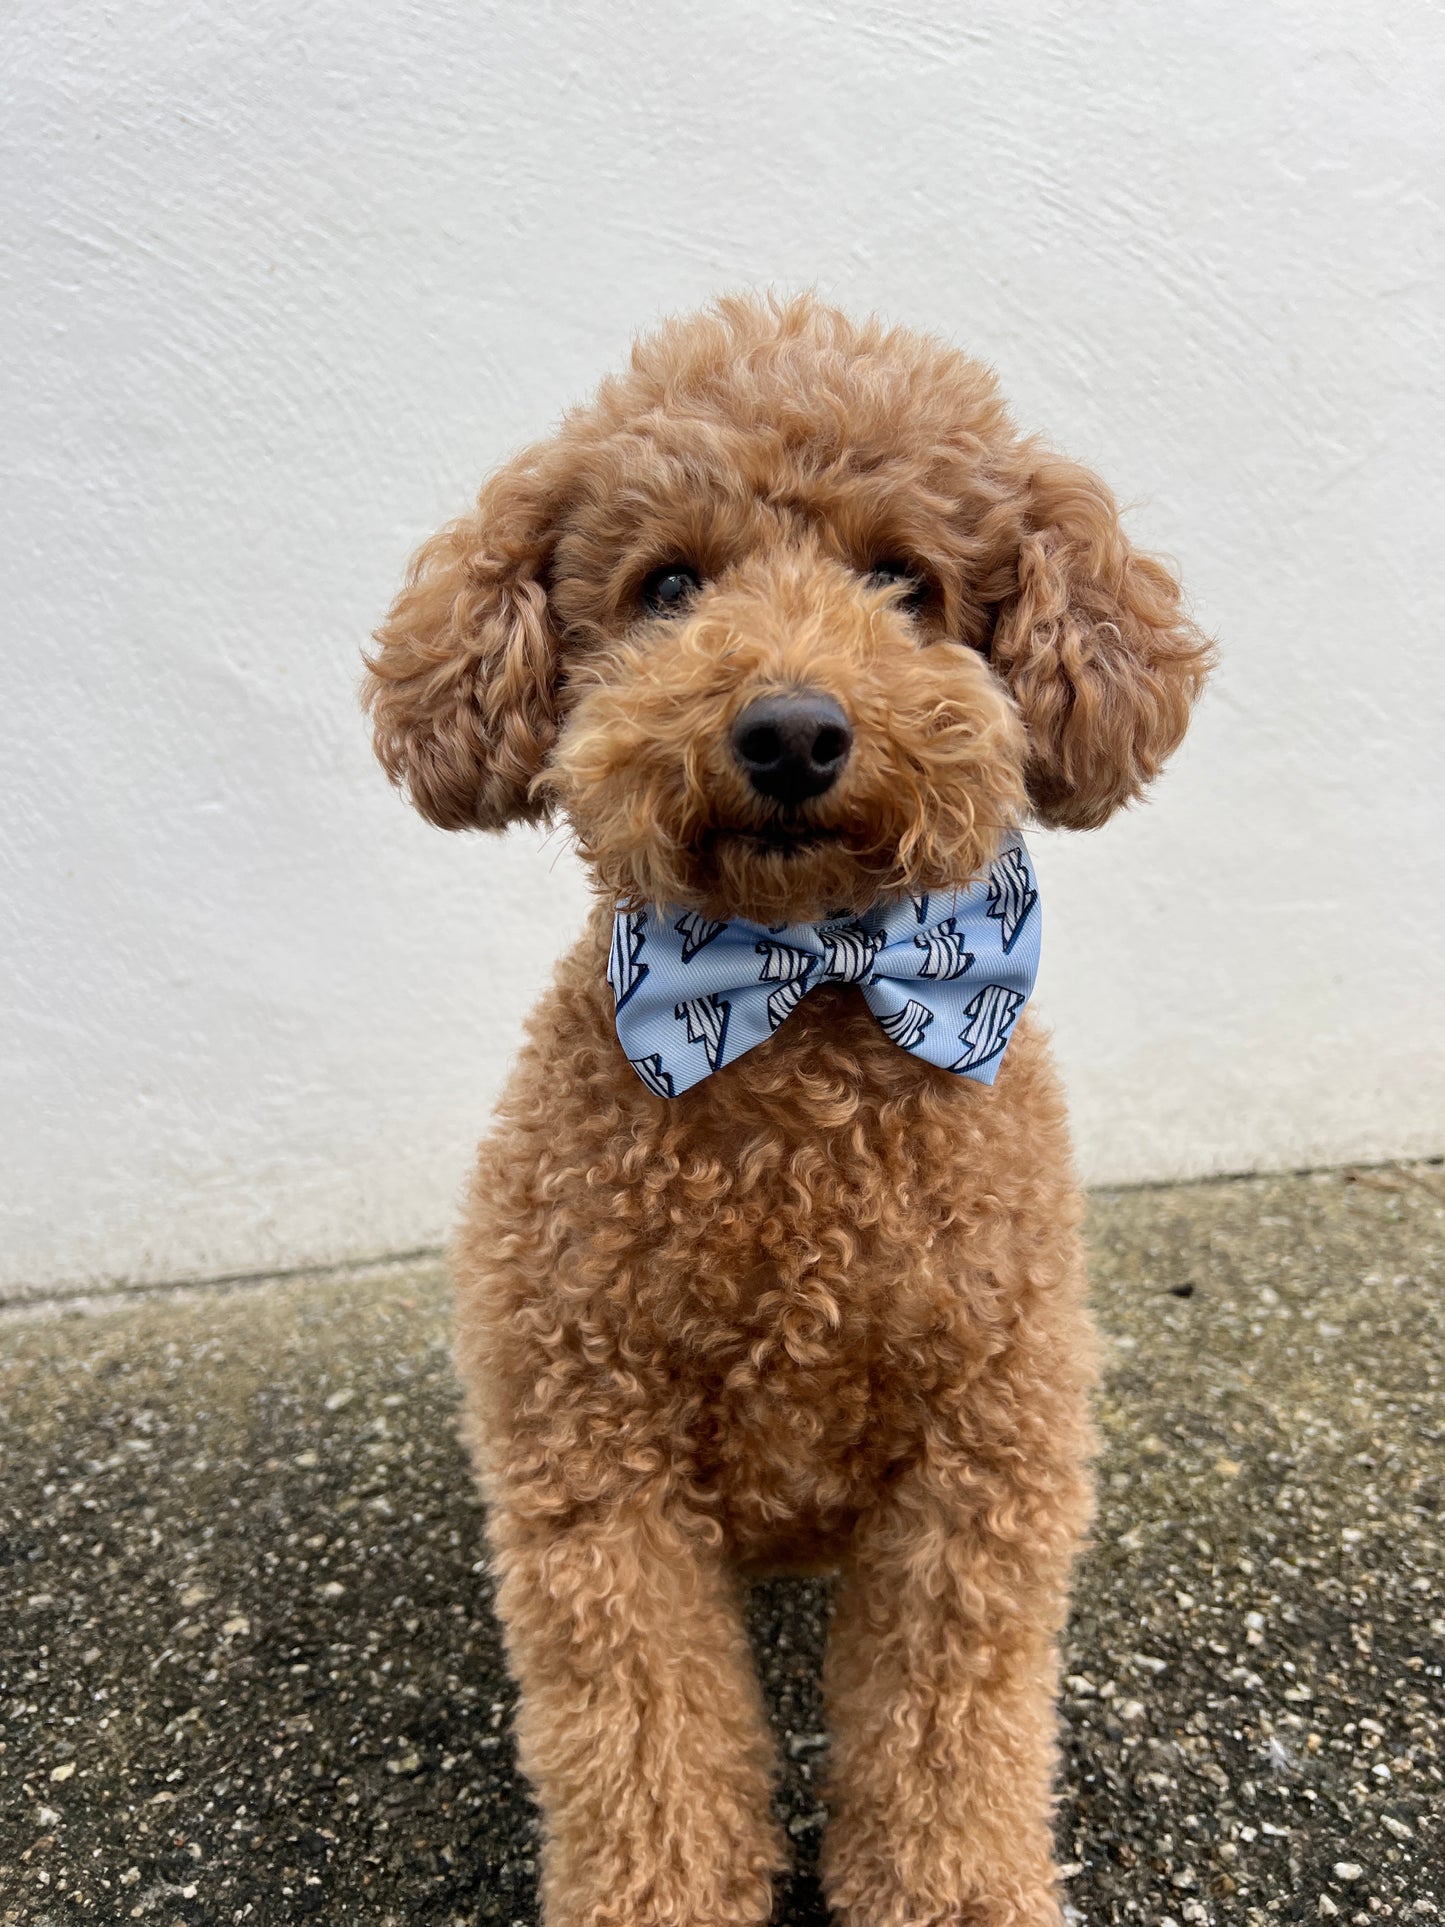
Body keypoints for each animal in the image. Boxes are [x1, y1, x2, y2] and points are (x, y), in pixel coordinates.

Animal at [362, 289, 1209, 1927]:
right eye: (667, 584)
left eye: (903, 578)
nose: (793, 731)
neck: (800, 1005)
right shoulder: (595, 1456)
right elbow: (646, 1733)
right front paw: (659, 1897)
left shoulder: (979, 1453)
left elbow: (946, 1728)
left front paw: (956, 1891)